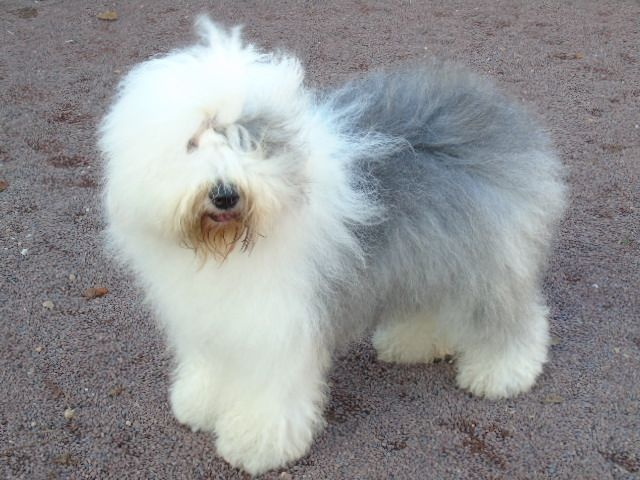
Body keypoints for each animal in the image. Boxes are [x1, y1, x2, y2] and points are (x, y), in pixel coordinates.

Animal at [99, 17, 566, 475]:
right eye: (191, 143)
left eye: (249, 142)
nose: (225, 194)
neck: (226, 250)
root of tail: (493, 105)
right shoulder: (212, 319)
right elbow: (211, 365)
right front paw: (200, 405)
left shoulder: (275, 326)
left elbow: (267, 391)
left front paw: (256, 444)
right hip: (430, 253)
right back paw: (412, 344)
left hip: (482, 260)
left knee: (510, 317)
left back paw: (502, 373)